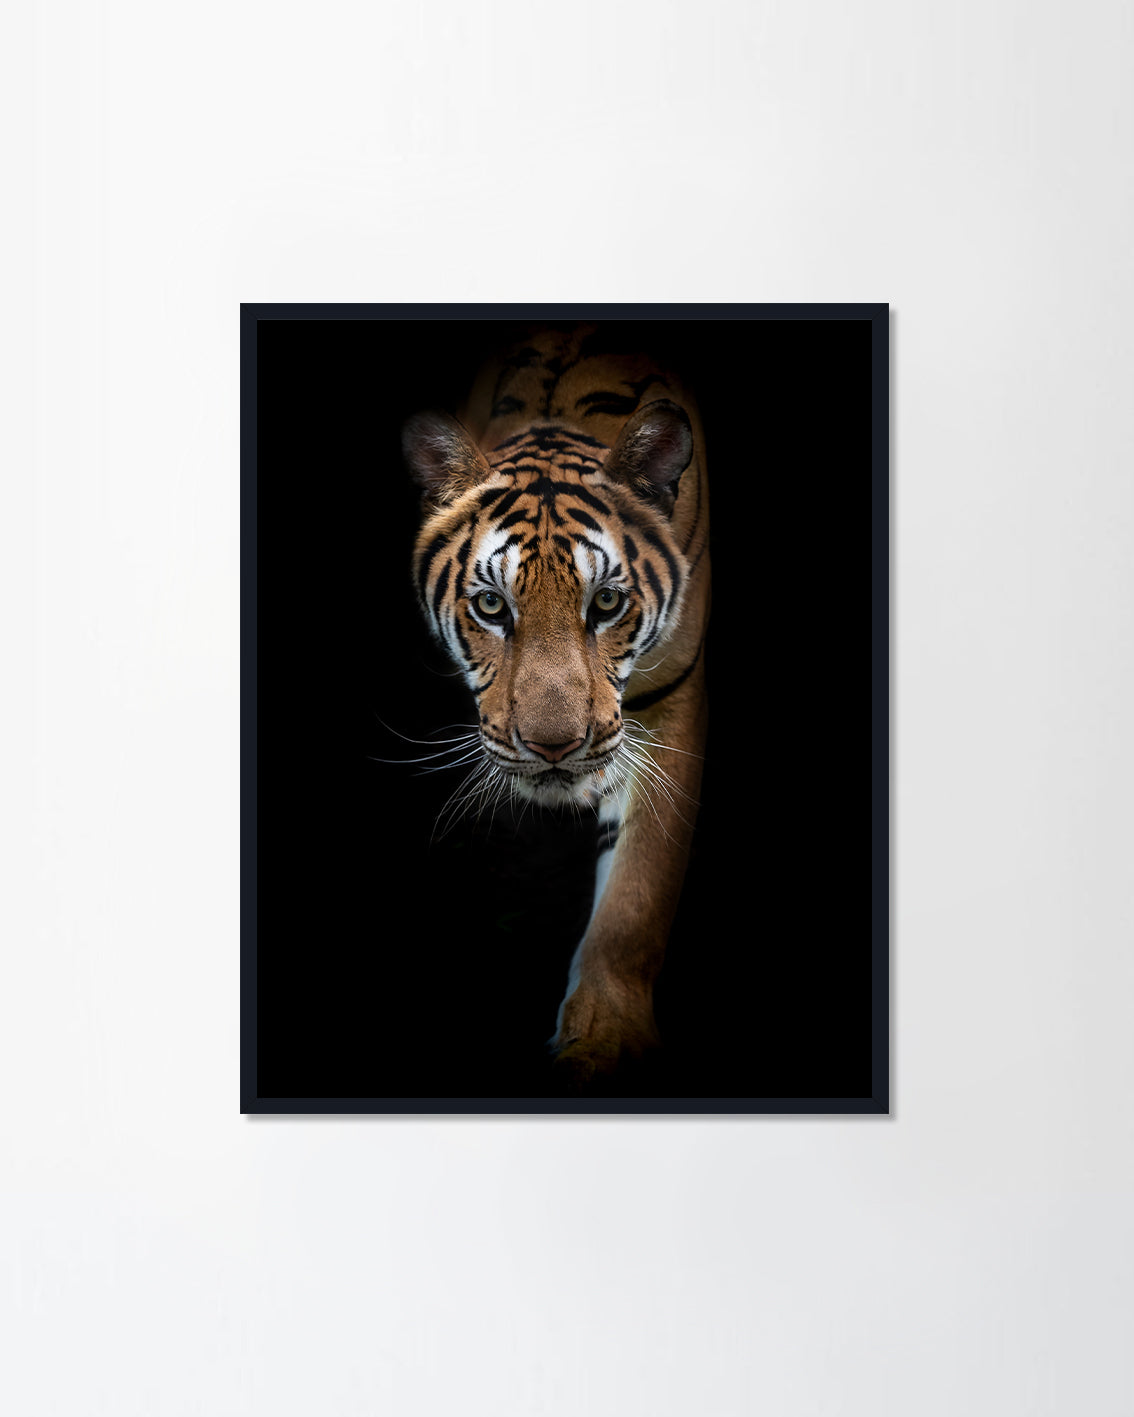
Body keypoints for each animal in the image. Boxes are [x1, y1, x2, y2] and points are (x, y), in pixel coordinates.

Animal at [401, 324, 709, 1091]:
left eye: (607, 602)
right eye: (491, 605)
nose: (553, 747)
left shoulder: (671, 706)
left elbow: (636, 890)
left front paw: (604, 1044)